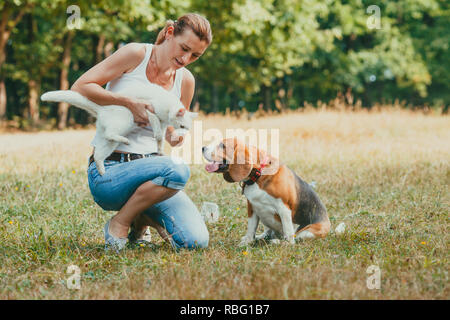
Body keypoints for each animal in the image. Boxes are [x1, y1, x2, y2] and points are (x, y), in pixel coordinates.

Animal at [40, 84, 197, 175]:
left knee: (99, 154)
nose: (182, 137)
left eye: (187, 128)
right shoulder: (150, 111)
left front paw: (160, 150)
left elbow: (160, 138)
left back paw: (102, 172)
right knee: (110, 135)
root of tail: (102, 110)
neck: (167, 109)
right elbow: (158, 133)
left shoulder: (163, 123)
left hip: (109, 143)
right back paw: (125, 141)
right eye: (182, 127)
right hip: (126, 120)